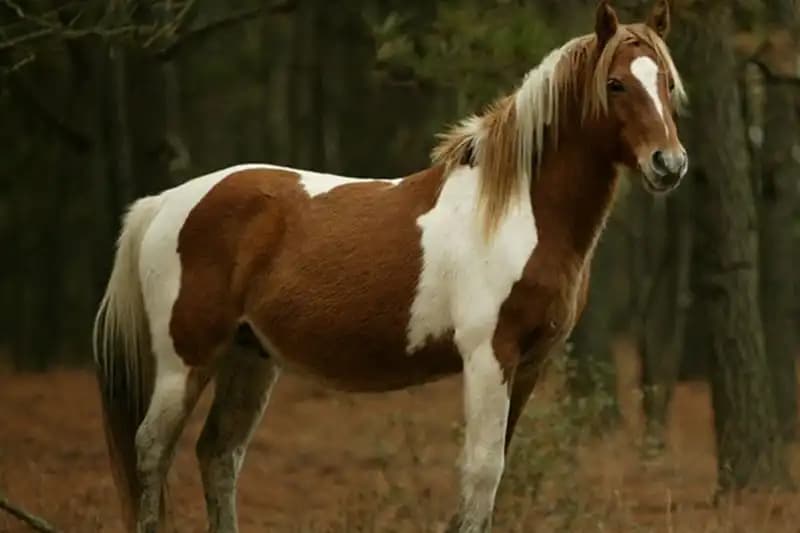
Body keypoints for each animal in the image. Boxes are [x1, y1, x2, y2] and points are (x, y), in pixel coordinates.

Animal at [93, 1, 687, 531]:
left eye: (667, 85)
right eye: (616, 84)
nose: (670, 165)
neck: (517, 209)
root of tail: (163, 203)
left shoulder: (530, 363)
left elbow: (494, 474)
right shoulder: (488, 355)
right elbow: (481, 474)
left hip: (250, 357)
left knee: (218, 454)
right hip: (185, 361)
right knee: (151, 452)